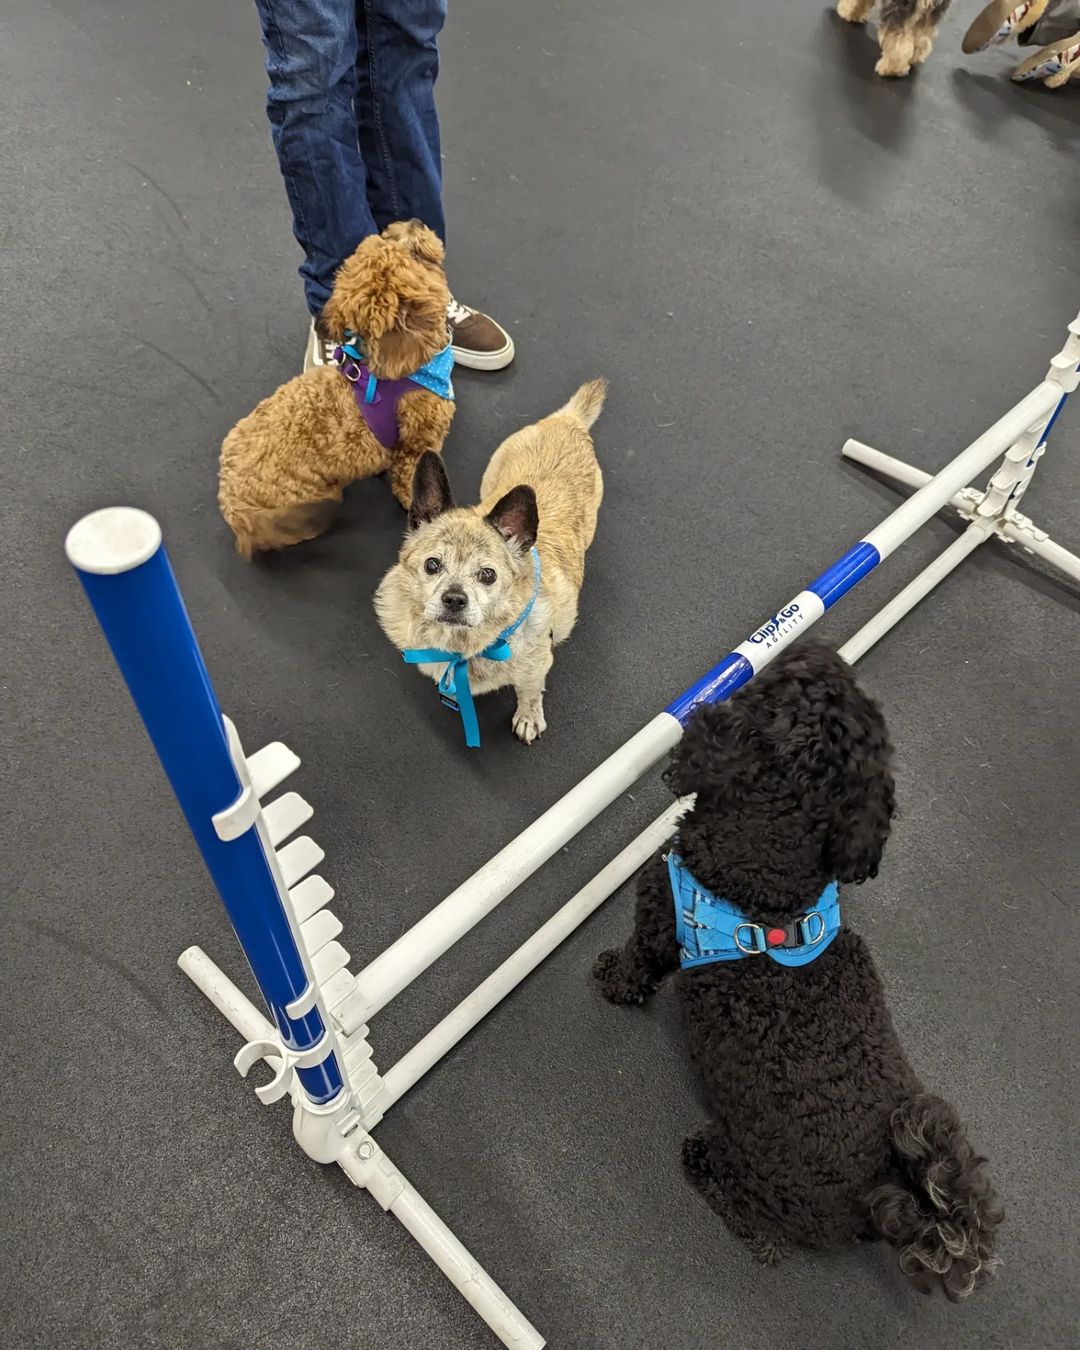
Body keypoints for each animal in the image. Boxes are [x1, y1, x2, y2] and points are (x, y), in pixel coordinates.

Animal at [375, 380, 602, 745]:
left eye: (488, 575)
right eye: (432, 565)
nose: (454, 599)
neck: (464, 646)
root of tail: (569, 420)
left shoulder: (537, 667)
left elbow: (529, 690)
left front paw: (528, 717)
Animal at [594, 642, 999, 1296]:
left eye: (784, 678)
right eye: (837, 682)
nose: (817, 646)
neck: (772, 866)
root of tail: (882, 1199)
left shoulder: (657, 913)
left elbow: (637, 965)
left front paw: (610, 979)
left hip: (756, 1178)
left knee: (761, 1231)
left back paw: (709, 1174)